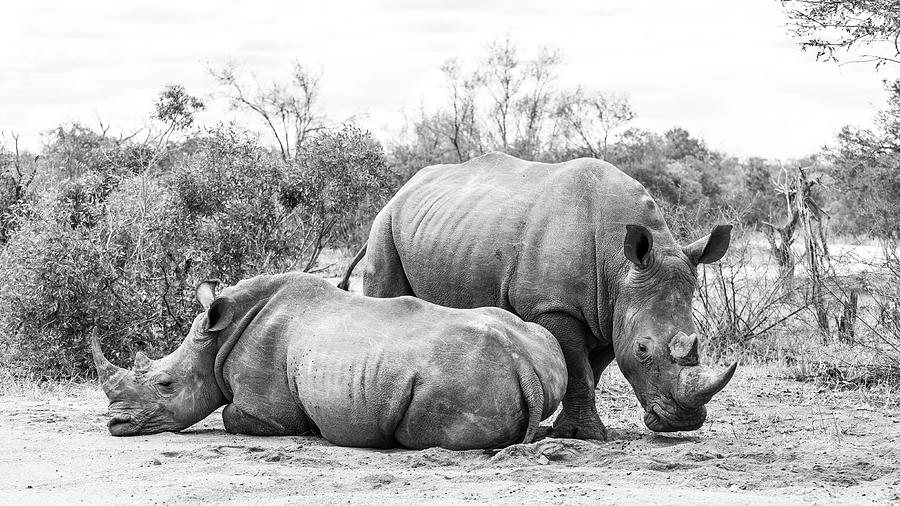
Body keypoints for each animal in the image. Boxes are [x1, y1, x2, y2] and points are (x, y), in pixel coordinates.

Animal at [95, 270, 568, 448]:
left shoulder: (266, 412)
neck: (217, 338)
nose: (115, 424)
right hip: (539, 350)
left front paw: (311, 429)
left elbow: (232, 416)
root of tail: (523, 364)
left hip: (458, 375)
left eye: (166, 385)